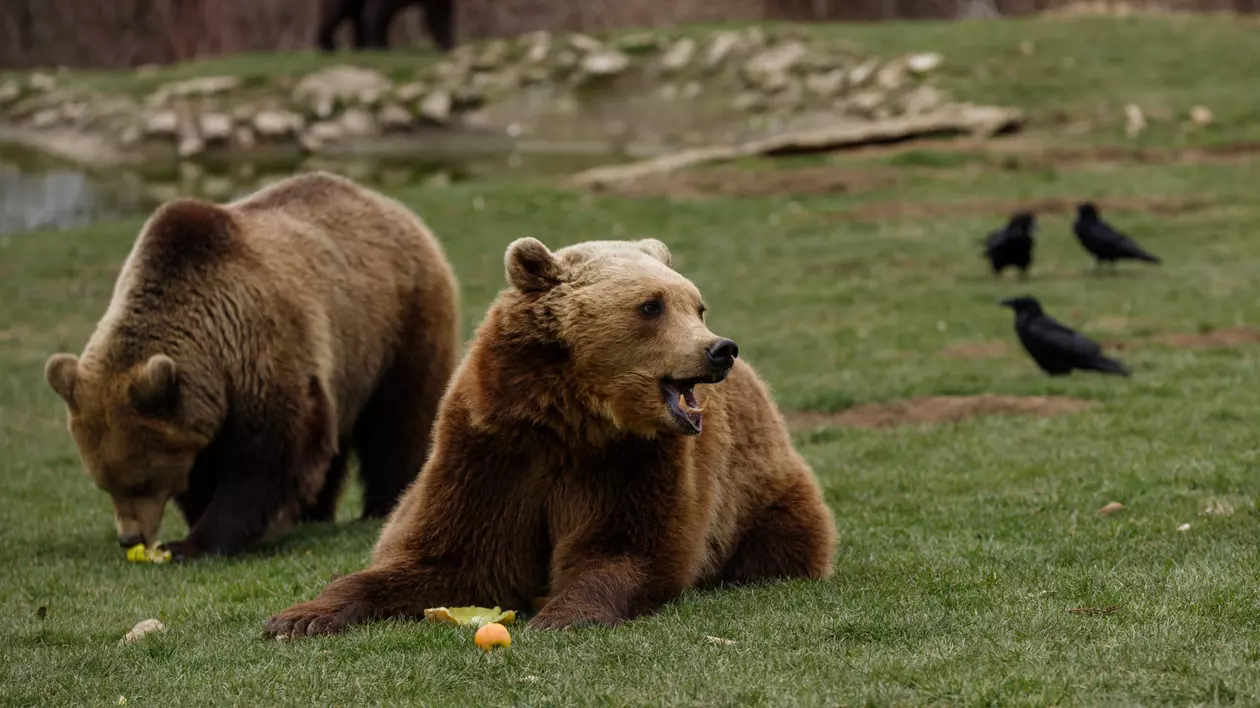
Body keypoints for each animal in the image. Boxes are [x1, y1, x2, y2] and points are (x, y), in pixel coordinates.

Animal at [47, 171, 468, 556]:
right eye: (105, 483)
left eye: (143, 481)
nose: (130, 538)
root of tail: (390, 204)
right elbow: (204, 465)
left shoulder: (261, 348)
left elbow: (268, 456)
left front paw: (196, 542)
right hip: (348, 363)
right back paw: (316, 513)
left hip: (397, 322)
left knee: (398, 419)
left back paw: (385, 504)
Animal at [263, 233, 836, 634]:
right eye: (651, 305)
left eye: (696, 305)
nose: (719, 349)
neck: (571, 418)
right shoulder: (491, 451)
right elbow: (451, 556)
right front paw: (299, 616)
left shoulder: (635, 461)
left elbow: (624, 549)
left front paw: (563, 614)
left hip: (755, 489)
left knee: (780, 535)